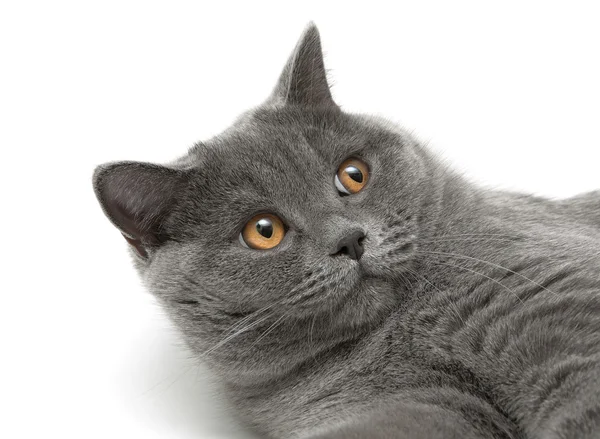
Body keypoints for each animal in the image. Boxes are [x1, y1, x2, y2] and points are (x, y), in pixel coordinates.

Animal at [92, 24, 600, 439]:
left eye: (353, 175)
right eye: (263, 231)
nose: (350, 240)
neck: (402, 327)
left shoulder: (555, 304)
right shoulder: (405, 402)